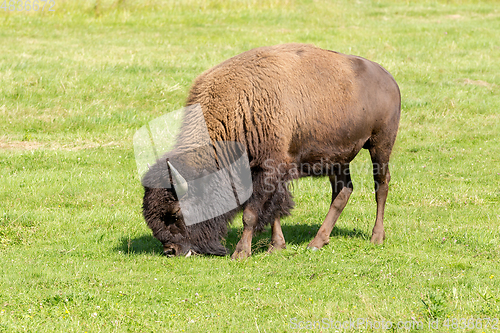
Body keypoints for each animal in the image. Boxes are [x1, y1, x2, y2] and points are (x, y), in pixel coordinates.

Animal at [142, 42, 402, 258]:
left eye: (177, 213)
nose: (171, 251)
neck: (239, 107)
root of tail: (389, 79)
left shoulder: (268, 169)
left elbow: (251, 213)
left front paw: (241, 253)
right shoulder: (270, 174)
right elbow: (274, 209)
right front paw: (276, 246)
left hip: (380, 145)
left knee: (381, 185)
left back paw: (376, 237)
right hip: (339, 157)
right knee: (343, 190)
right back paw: (317, 242)